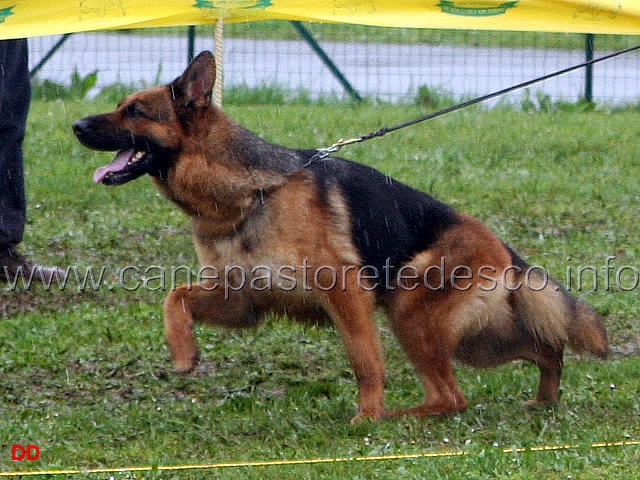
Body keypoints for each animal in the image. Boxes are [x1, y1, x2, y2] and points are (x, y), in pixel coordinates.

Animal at [72, 50, 608, 422]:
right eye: (121, 106)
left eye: (136, 111)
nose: (75, 124)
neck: (247, 194)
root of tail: (503, 248)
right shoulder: (241, 300)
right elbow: (175, 297)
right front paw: (183, 353)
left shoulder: (346, 296)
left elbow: (366, 363)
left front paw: (367, 417)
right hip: (475, 339)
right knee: (544, 349)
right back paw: (544, 399)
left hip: (415, 320)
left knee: (452, 396)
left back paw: (395, 417)